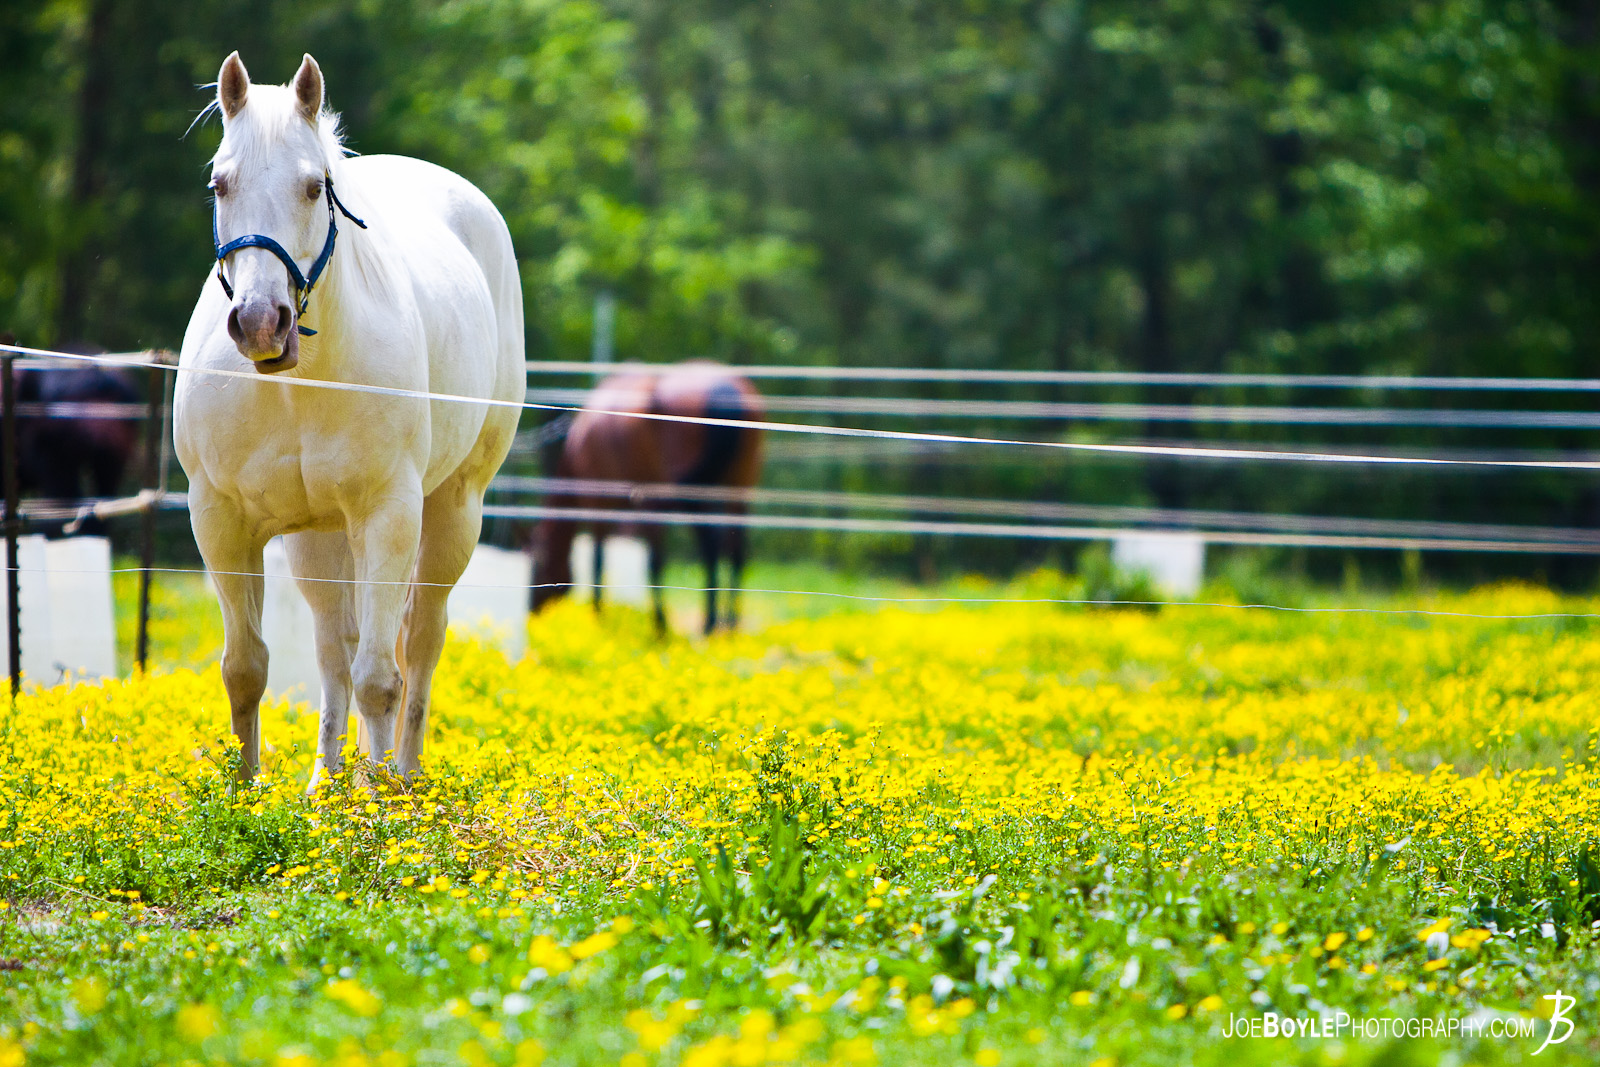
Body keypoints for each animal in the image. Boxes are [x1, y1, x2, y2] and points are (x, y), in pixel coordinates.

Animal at [174, 53, 525, 786]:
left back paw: (400, 779)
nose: (260, 322)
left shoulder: (388, 514)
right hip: (319, 538)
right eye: (220, 183)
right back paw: (327, 786)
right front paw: (242, 797)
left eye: (315, 188)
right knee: (336, 646)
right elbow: (246, 668)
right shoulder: (220, 519)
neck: (297, 384)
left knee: (418, 644)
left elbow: (380, 680)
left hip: (453, 511)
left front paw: (379, 804)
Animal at [528, 362, 764, 635]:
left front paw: (604, 617)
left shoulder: (600, 503)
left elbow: (603, 561)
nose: (533, 612)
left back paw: (706, 624)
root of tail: (725, 391)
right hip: (739, 486)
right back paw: (730, 625)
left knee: (708, 545)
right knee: (736, 548)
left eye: (536, 568)